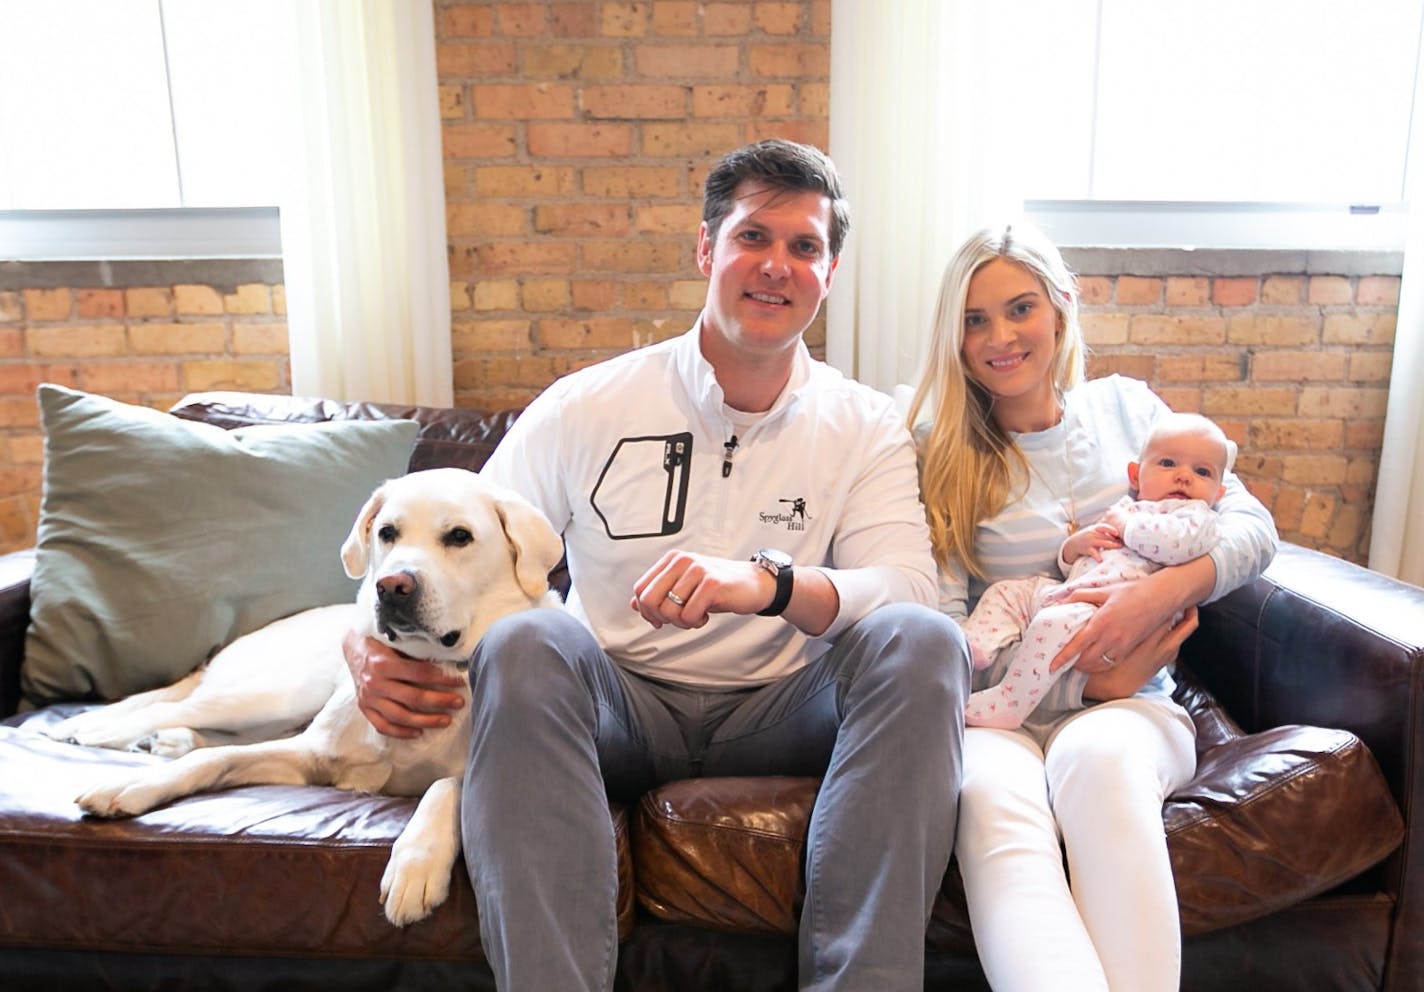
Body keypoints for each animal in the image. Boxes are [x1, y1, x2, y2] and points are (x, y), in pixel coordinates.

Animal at [45, 466, 555, 922]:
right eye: (387, 532)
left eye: (460, 536)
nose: (392, 586)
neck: (426, 665)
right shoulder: (310, 754)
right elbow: (213, 760)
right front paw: (130, 786)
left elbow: (445, 784)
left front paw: (416, 864)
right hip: (275, 694)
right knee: (172, 706)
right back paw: (95, 730)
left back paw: (163, 739)